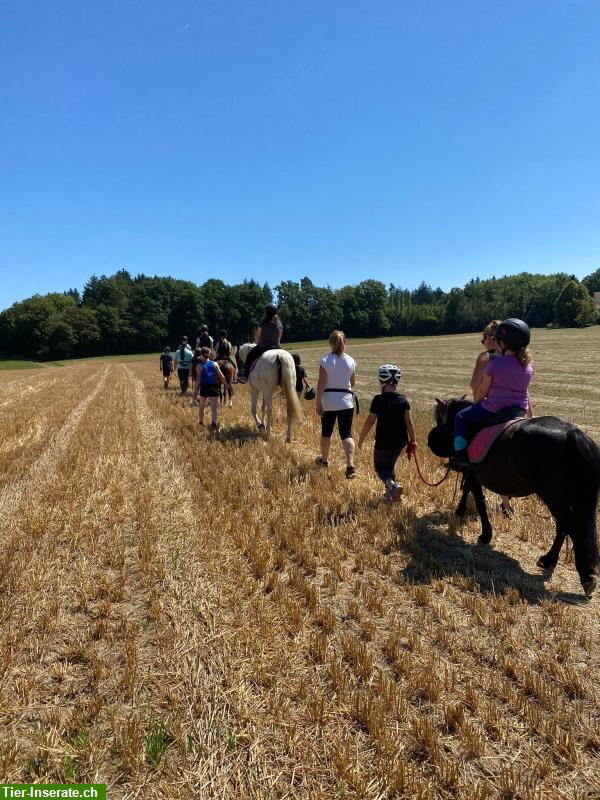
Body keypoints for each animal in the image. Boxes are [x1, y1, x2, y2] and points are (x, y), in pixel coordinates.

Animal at [426, 396, 600, 596]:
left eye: (440, 419)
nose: (430, 439)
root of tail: (573, 434)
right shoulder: (472, 473)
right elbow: (468, 491)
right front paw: (461, 511)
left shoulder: (473, 473)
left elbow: (478, 500)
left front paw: (485, 535)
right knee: (565, 526)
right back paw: (552, 562)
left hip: (552, 495)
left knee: (567, 525)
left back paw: (573, 570)